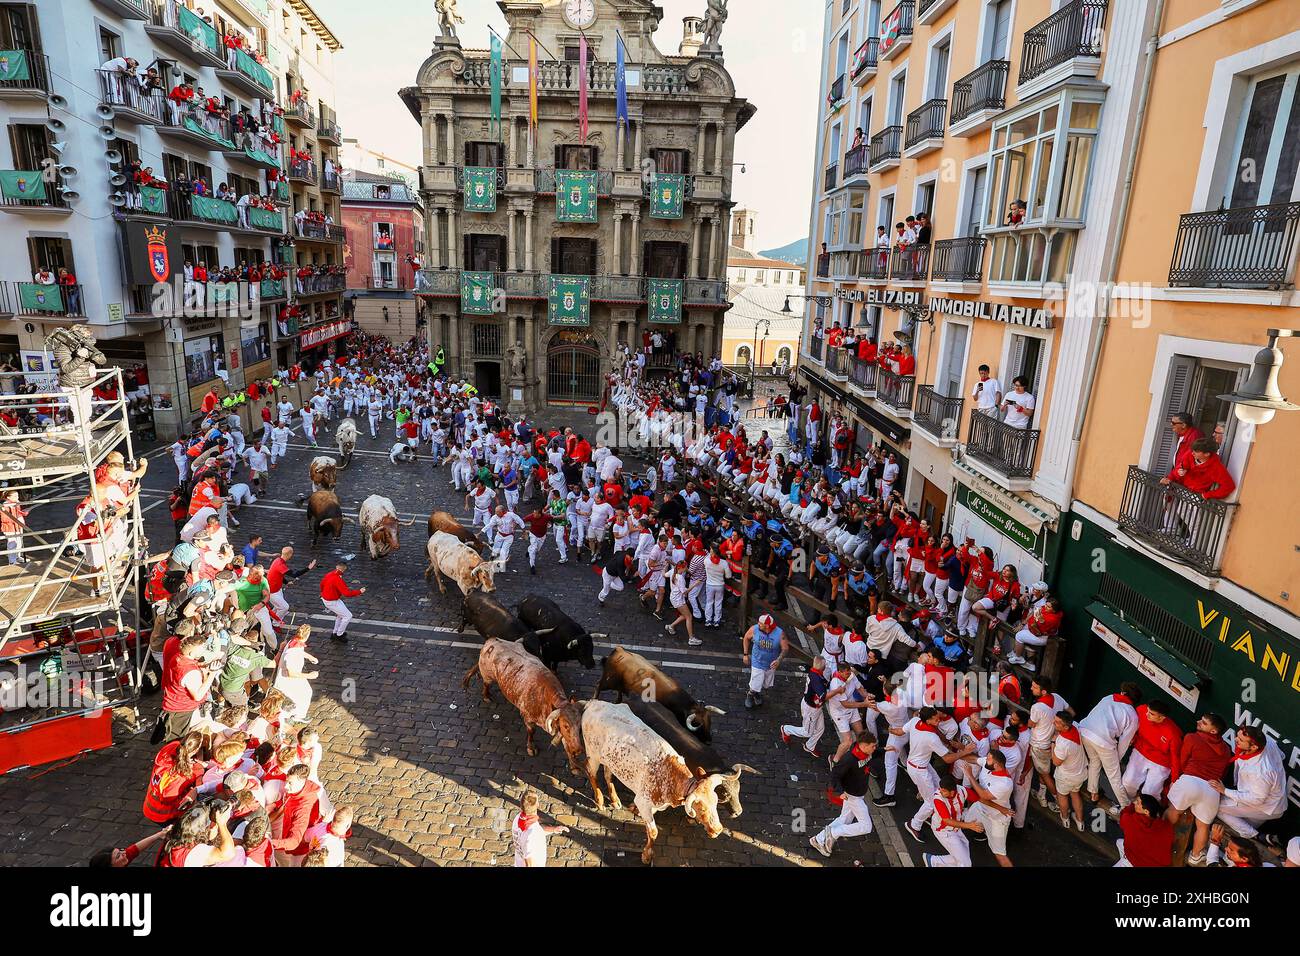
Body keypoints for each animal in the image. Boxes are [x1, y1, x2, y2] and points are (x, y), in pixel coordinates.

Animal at [462, 634, 585, 780]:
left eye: (580, 727)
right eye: (566, 725)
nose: (579, 750)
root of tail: (493, 640)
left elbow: (567, 744)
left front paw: (574, 766)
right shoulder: (528, 717)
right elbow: (531, 732)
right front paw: (531, 748)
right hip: (487, 675)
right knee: (486, 684)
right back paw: (486, 696)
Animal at [582, 697, 733, 868]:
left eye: (715, 802)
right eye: (700, 807)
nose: (718, 829)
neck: (670, 778)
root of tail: (594, 703)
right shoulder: (643, 802)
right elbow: (653, 832)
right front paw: (647, 855)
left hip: (609, 758)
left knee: (608, 774)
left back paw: (614, 800)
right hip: (592, 753)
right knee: (590, 772)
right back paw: (600, 800)